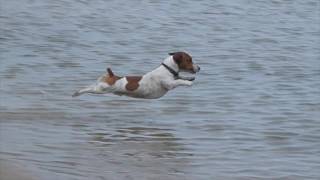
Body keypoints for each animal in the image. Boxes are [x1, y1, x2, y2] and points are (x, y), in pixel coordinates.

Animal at [72, 51, 200, 99]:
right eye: (189, 60)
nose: (199, 68)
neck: (167, 69)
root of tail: (113, 76)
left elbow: (180, 77)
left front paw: (189, 78)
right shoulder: (169, 84)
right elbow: (179, 81)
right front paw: (188, 82)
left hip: (101, 87)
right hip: (101, 89)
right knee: (88, 88)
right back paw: (77, 93)